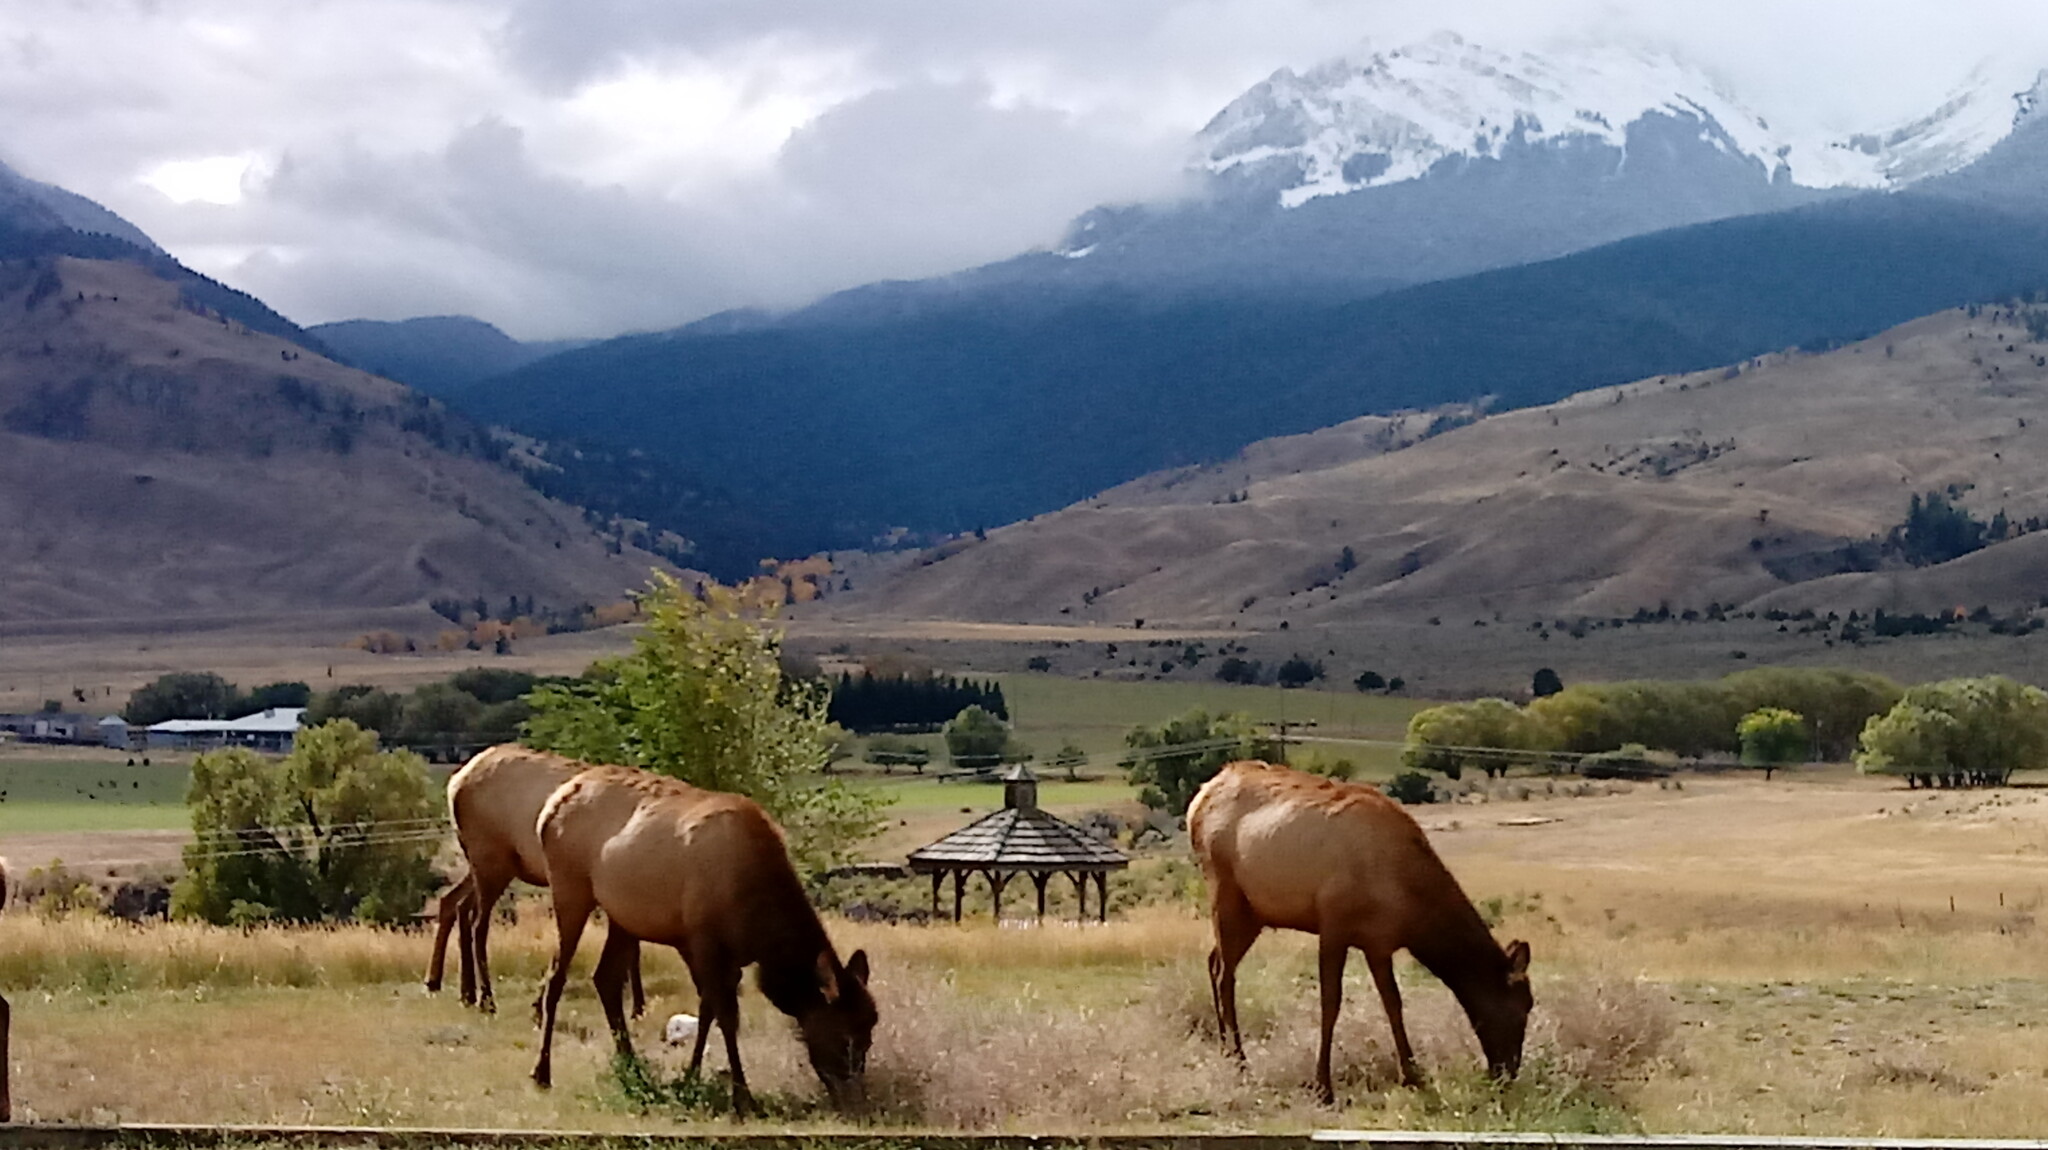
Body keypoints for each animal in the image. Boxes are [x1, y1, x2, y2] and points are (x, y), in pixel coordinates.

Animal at [440, 744, 638, 1010]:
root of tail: (454, 784)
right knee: (477, 924)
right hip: (492, 861)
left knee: (457, 903)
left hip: (486, 865)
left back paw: (464, 992)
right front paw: (638, 1007)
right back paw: (486, 999)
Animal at [528, 761, 872, 1113]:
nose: (856, 1096)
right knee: (555, 977)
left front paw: (690, 1078)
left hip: (622, 915)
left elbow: (707, 1010)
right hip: (570, 888)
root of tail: (550, 807)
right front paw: (742, 1096)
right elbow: (726, 1015)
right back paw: (543, 1073)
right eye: (844, 1035)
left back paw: (632, 1067)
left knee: (606, 979)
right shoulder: (703, 940)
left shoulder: (726, 957)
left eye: (869, 1033)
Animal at [1187, 757, 1540, 1096]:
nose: (1507, 1073)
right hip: (1224, 889)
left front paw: (1413, 1075)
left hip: (1255, 913)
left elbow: (1393, 1003)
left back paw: (1227, 1049)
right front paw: (1323, 1086)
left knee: (1214, 961)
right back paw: (1239, 1059)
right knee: (1225, 972)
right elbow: (1330, 1002)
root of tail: (1198, 800)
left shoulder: (1379, 943)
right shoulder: (1332, 924)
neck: (1409, 904)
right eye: (1523, 1007)